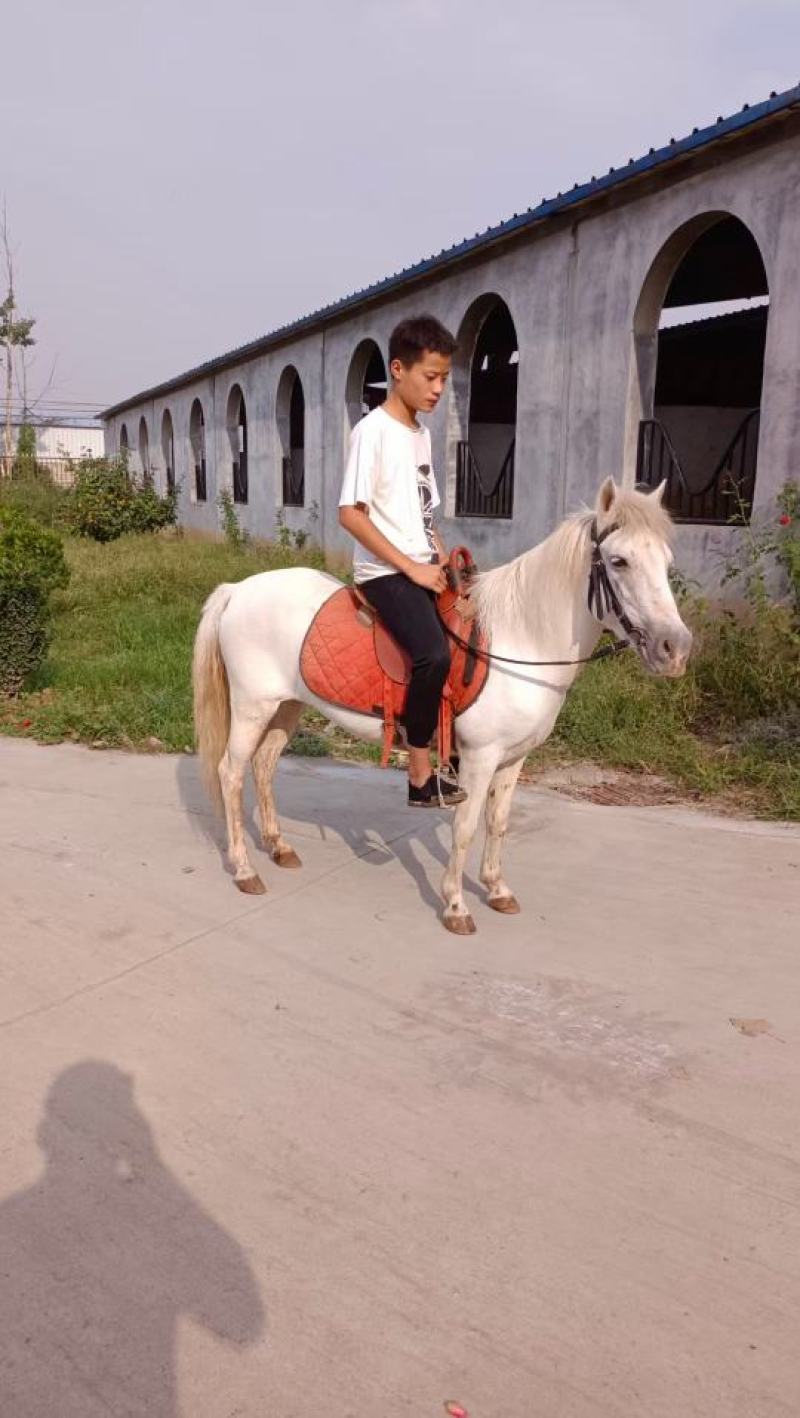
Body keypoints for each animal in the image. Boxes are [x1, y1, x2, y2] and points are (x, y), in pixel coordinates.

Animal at [192, 477, 692, 933]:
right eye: (619, 561)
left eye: (667, 562)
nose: (675, 648)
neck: (522, 639)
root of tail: (237, 589)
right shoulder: (479, 758)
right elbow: (466, 827)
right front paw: (455, 906)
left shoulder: (514, 759)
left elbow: (499, 822)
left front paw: (496, 888)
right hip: (253, 707)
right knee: (231, 773)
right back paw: (245, 869)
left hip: (287, 706)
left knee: (264, 766)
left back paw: (279, 847)